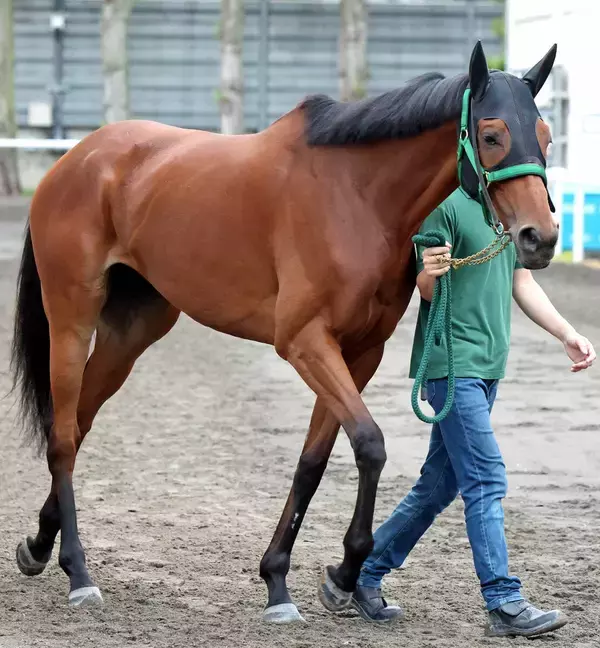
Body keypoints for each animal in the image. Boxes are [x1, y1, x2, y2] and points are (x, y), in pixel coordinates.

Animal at [11, 41, 558, 623]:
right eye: (492, 135)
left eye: (545, 136)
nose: (541, 238)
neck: (357, 196)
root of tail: (76, 159)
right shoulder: (305, 343)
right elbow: (370, 445)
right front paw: (343, 573)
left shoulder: (359, 353)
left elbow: (313, 462)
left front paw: (282, 579)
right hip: (71, 318)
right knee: (63, 437)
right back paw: (78, 572)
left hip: (131, 333)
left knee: (76, 426)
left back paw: (39, 546)